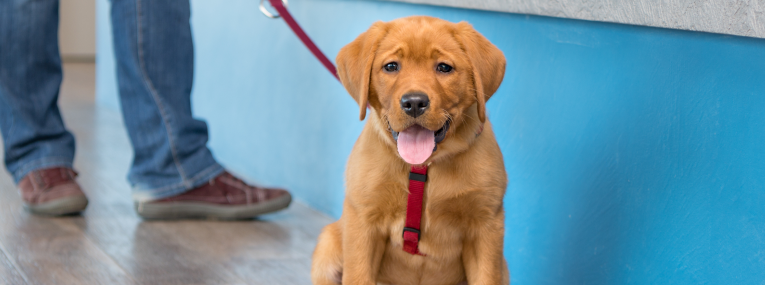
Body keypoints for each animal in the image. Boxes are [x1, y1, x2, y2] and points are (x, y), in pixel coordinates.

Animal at [310, 16, 508, 284]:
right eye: (391, 66)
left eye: (444, 67)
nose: (414, 102)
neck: (423, 166)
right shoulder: (363, 223)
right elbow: (358, 275)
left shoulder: (486, 227)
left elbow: (486, 276)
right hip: (327, 248)